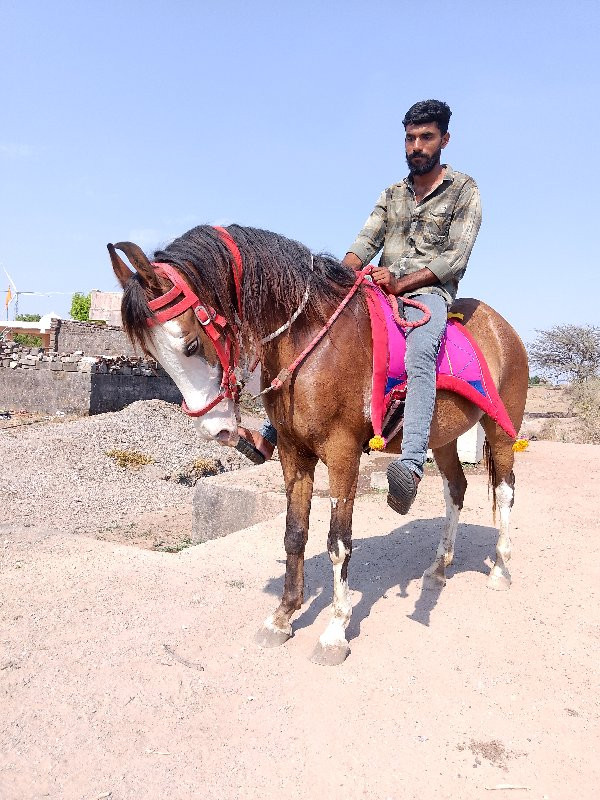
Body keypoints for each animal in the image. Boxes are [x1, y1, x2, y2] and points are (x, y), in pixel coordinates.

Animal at [110, 223, 528, 664]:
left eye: (190, 344)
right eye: (153, 356)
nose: (217, 430)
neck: (312, 338)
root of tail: (502, 329)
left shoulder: (343, 454)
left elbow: (338, 543)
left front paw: (334, 632)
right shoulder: (294, 454)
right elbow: (295, 533)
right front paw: (282, 617)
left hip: (501, 429)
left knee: (505, 491)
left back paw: (500, 569)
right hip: (443, 436)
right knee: (456, 489)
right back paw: (439, 567)